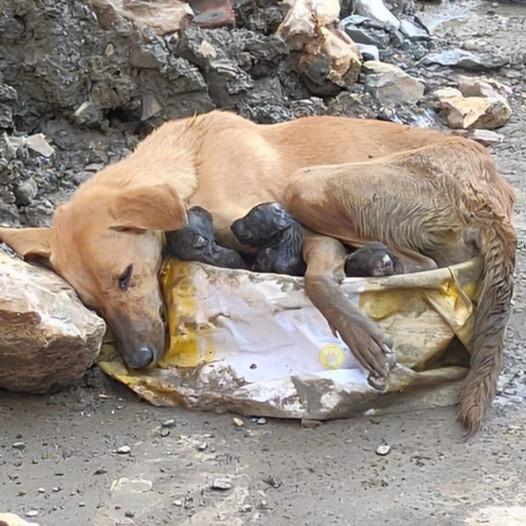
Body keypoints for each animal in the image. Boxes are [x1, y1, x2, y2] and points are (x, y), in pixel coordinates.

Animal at [0, 110, 520, 434]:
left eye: (126, 277)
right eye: (92, 304)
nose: (140, 360)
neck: (192, 165)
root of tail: (491, 189)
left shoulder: (301, 232)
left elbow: (315, 279)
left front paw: (358, 332)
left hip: (308, 184)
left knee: (424, 265)